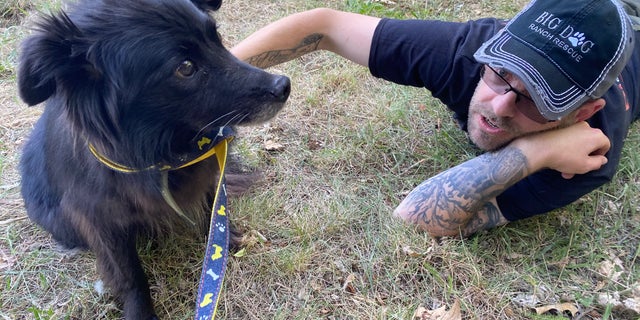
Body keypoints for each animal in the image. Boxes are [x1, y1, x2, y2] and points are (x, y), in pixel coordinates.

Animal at [15, 0, 290, 318]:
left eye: (216, 37)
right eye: (185, 67)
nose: (283, 85)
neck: (162, 152)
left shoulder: (208, 173)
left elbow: (213, 208)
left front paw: (225, 240)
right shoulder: (100, 219)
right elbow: (130, 274)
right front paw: (140, 311)